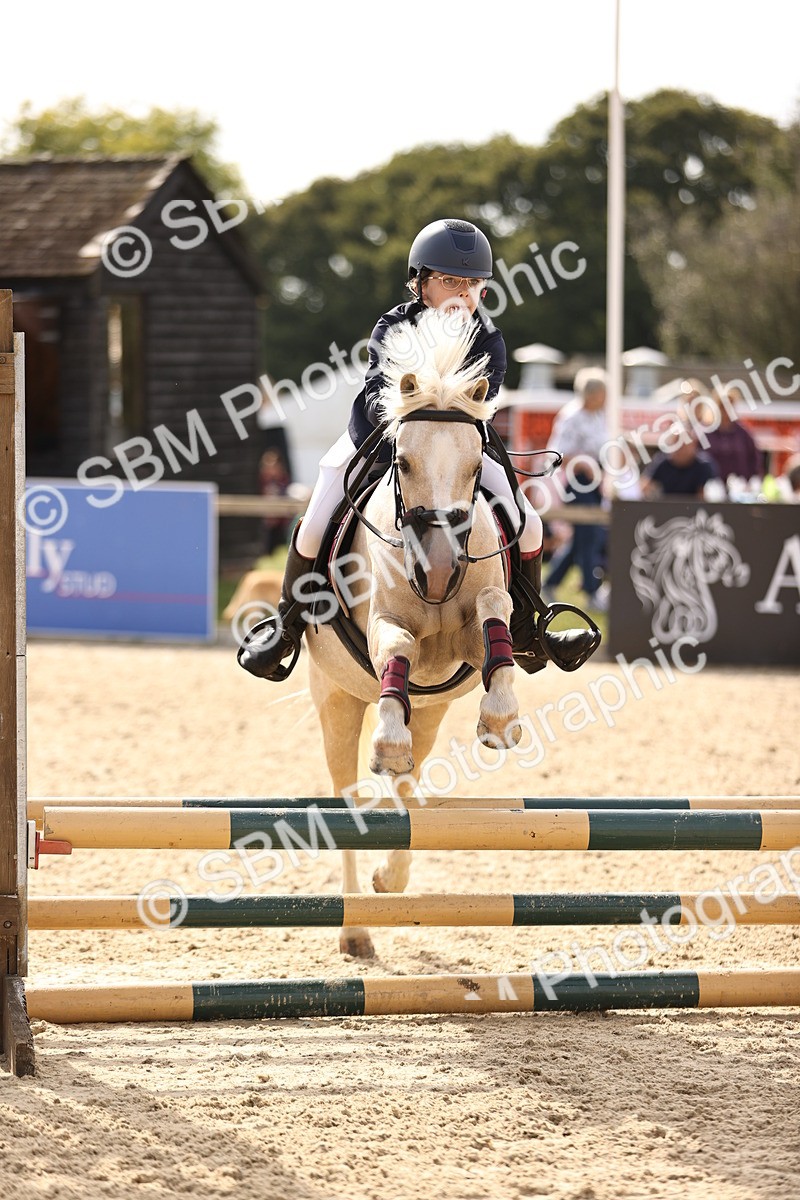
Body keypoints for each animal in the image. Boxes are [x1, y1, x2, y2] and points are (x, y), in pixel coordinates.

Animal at [305, 309, 523, 957]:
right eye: (401, 462)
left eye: (476, 468)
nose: (441, 568)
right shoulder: (382, 629)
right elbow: (397, 646)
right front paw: (386, 742)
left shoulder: (467, 644)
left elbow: (495, 617)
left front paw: (499, 719)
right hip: (336, 698)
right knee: (349, 795)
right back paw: (355, 929)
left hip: (430, 711)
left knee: (407, 788)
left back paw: (390, 877)